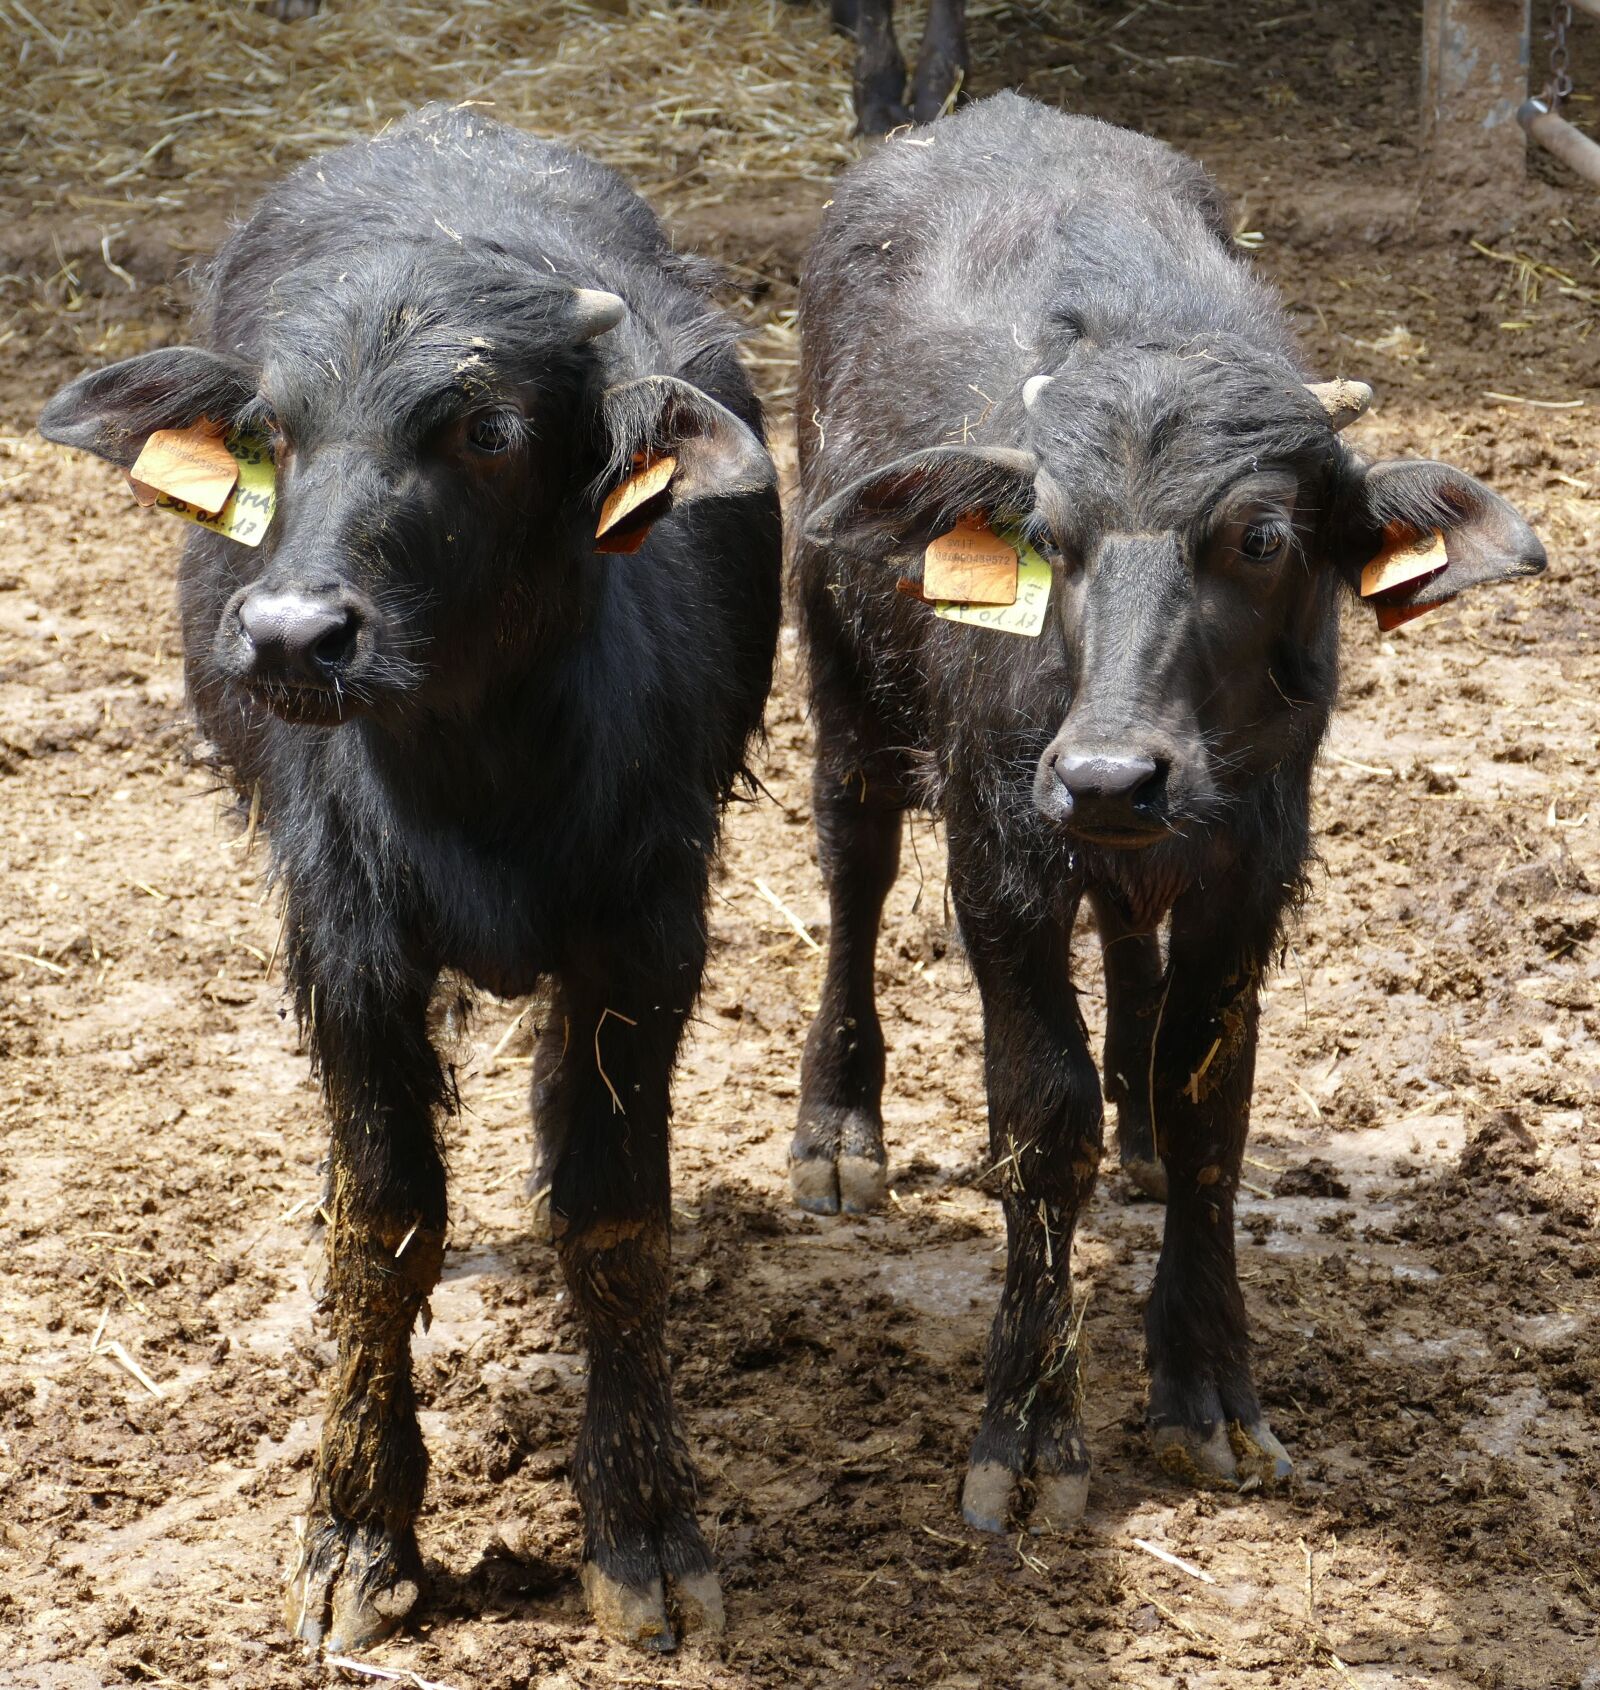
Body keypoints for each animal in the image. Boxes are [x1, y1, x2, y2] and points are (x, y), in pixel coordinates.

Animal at [40, 105, 782, 1654]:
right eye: (273, 432)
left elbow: (614, 1215)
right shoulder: (348, 948)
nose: (290, 636)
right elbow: (381, 1230)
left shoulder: (643, 939)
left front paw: (644, 1527)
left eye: (486, 430)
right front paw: (355, 1531)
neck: (479, 775)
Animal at [791, 92, 1544, 1529]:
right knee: (854, 863)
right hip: (842, 675)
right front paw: (1030, 1428)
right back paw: (836, 1129)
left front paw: (1209, 1390)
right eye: (1052, 536)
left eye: (1259, 537)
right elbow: (1042, 1119)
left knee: (1129, 946)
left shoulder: (1250, 864)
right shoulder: (998, 858)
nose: (1108, 773)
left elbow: (1210, 1112)